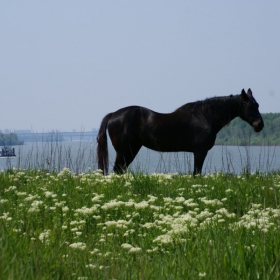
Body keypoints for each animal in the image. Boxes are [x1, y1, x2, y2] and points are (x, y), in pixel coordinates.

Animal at [96, 88, 262, 174]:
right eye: (248, 105)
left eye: (258, 104)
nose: (260, 125)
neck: (205, 116)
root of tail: (113, 114)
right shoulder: (200, 151)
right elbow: (196, 173)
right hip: (124, 151)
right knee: (118, 170)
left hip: (131, 150)